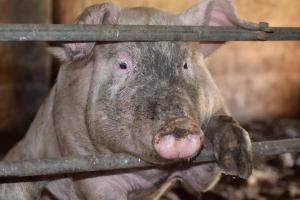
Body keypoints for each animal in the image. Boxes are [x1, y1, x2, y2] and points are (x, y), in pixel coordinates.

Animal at [0, 0, 258, 199]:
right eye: (123, 65)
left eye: (185, 64)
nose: (179, 123)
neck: (146, 174)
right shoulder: (86, 167)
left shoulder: (196, 170)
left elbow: (203, 178)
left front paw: (239, 164)